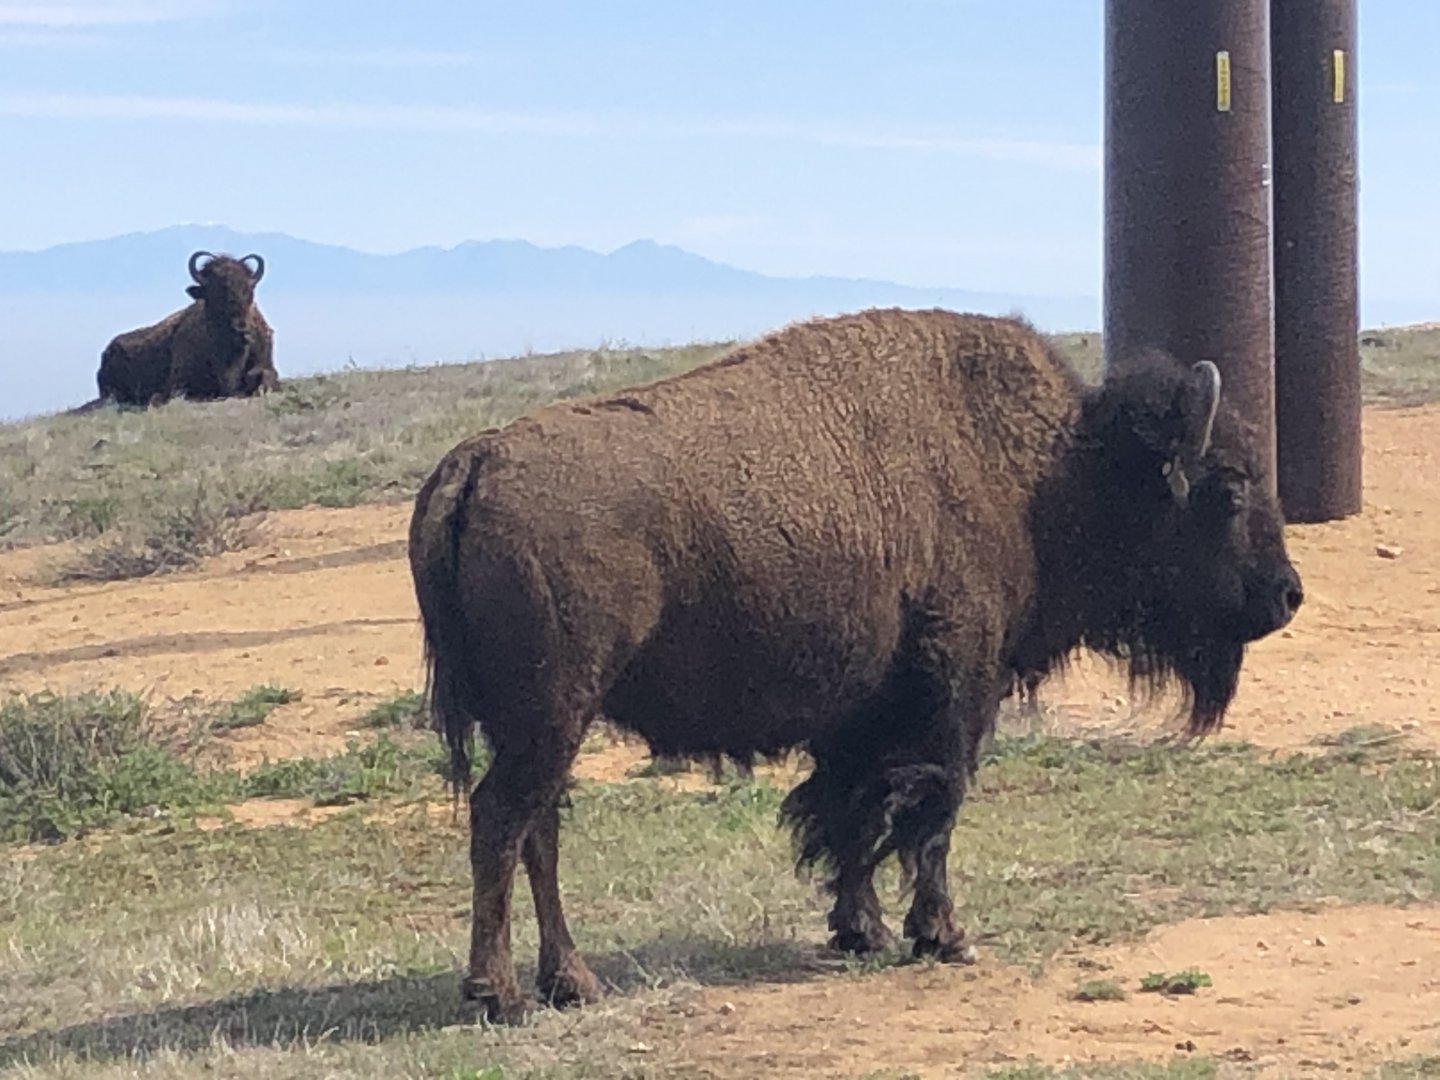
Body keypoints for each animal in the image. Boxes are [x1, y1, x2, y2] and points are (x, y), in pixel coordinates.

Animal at [408, 307, 1304, 1022]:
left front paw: (860, 930)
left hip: (538, 724)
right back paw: (502, 994)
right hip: (552, 714)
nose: (1286, 594)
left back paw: (572, 982)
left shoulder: (860, 718)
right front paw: (943, 936)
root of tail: (474, 461)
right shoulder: (954, 694)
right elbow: (927, 813)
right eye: (1226, 490)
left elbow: (850, 815)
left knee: (539, 828)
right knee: (503, 821)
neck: (1046, 473)